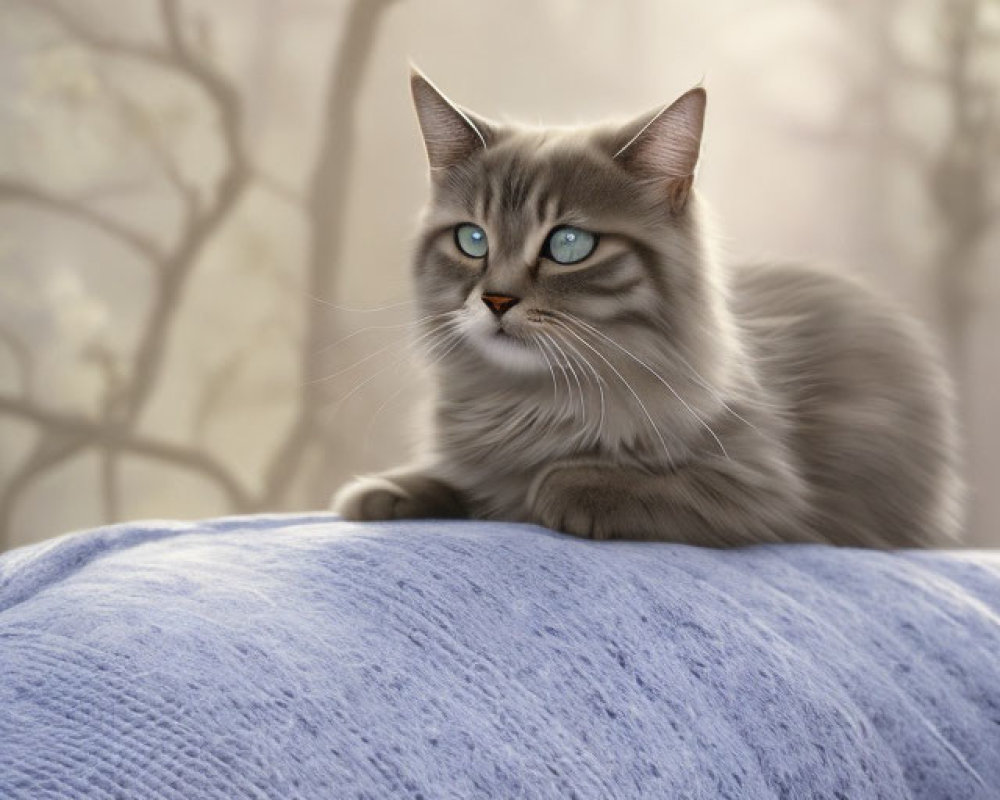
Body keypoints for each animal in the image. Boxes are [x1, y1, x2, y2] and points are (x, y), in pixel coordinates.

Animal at [334, 69, 960, 548]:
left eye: (568, 244)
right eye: (472, 239)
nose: (496, 298)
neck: (530, 402)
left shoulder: (763, 489)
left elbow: (617, 482)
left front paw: (562, 486)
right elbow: (459, 476)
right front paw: (388, 490)